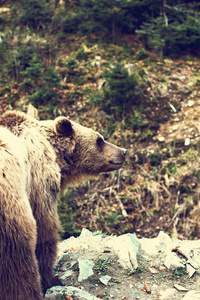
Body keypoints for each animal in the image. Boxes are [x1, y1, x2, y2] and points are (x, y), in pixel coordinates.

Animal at [0, 111, 126, 300]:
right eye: (100, 140)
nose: (123, 151)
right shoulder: (38, 180)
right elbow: (45, 230)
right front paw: (51, 279)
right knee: (17, 260)